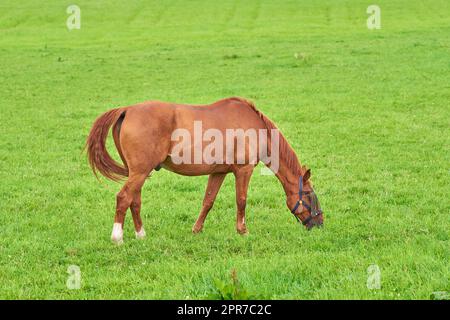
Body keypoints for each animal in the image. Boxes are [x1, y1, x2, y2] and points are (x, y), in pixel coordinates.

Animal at [85, 96, 324, 244]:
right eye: (309, 195)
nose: (320, 223)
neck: (256, 128)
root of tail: (127, 110)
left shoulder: (218, 172)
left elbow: (208, 201)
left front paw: (197, 229)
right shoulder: (243, 170)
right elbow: (241, 200)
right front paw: (243, 231)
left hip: (138, 173)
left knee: (134, 200)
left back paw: (141, 234)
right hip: (139, 173)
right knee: (123, 198)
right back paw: (117, 237)